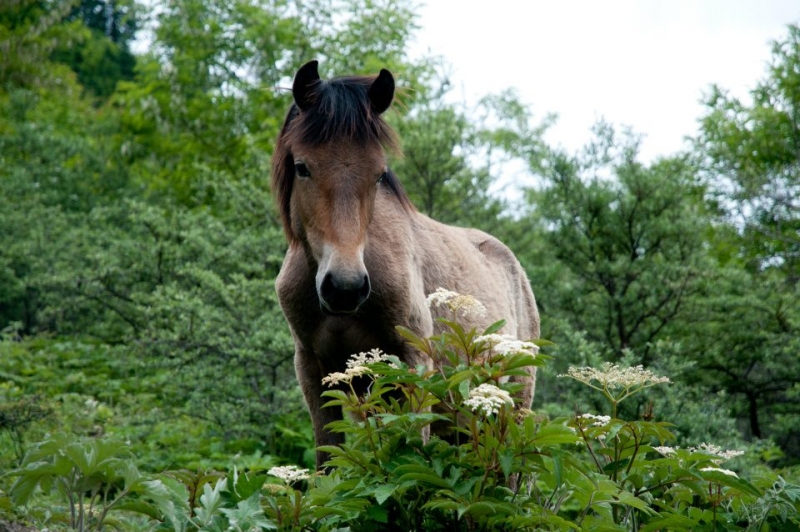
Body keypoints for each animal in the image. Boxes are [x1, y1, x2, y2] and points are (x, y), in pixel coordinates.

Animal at [272, 59, 540, 470]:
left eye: (379, 174)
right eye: (302, 167)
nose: (345, 287)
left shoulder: (413, 363)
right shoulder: (315, 371)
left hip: (514, 407)